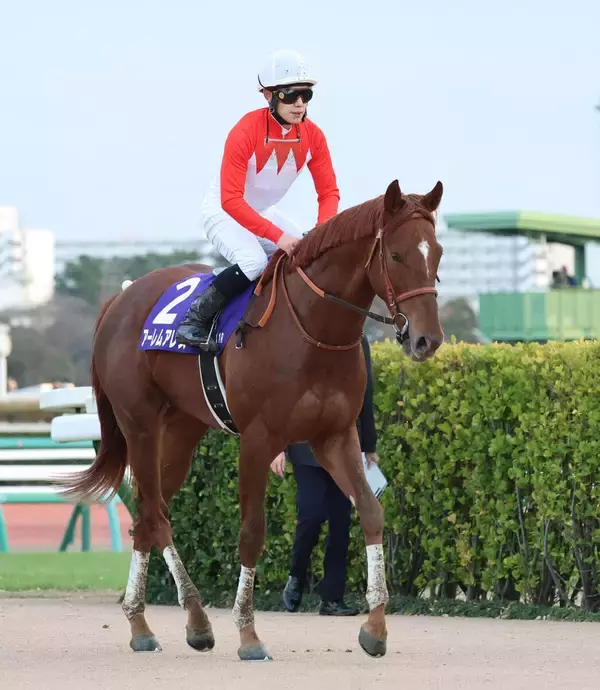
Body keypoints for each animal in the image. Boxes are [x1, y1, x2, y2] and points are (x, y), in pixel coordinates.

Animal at [60, 178, 445, 661]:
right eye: (395, 255)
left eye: (437, 253)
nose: (427, 339)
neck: (313, 330)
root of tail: (120, 298)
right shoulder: (258, 440)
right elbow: (252, 532)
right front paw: (248, 633)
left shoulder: (335, 436)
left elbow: (371, 512)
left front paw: (375, 628)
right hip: (141, 424)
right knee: (156, 514)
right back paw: (196, 619)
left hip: (183, 430)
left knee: (147, 514)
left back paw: (141, 624)